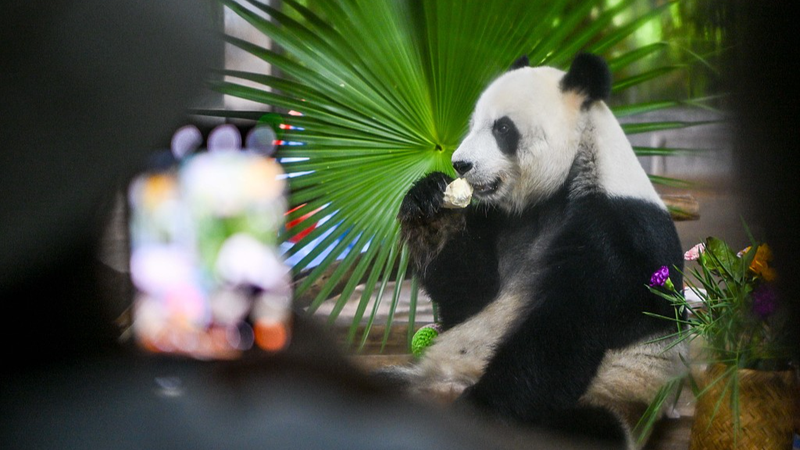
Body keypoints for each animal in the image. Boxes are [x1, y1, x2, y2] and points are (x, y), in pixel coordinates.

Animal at [383, 54, 686, 449]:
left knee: (592, 426)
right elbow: (468, 297)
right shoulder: (503, 220)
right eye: (474, 124)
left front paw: (477, 410)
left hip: (617, 396)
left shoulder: (618, 238)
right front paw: (429, 203)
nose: (460, 164)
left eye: (503, 128)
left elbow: (563, 331)